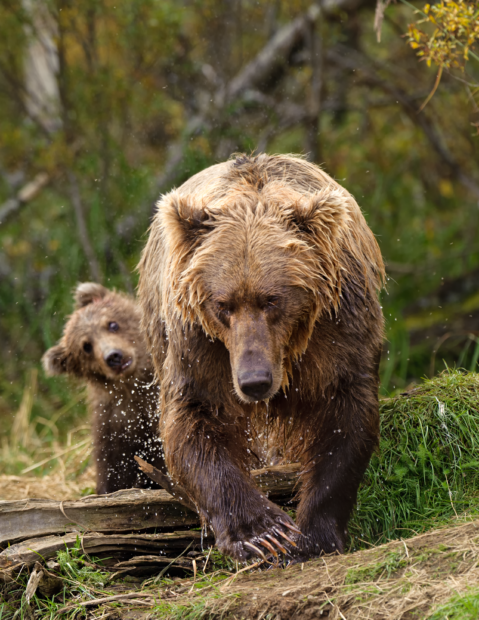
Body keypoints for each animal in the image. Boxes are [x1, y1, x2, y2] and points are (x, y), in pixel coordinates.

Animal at [137, 155, 384, 560]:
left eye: (273, 299)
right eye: (223, 304)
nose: (254, 381)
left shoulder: (338, 326)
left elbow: (344, 414)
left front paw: (313, 534)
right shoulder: (200, 343)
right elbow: (193, 420)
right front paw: (261, 532)